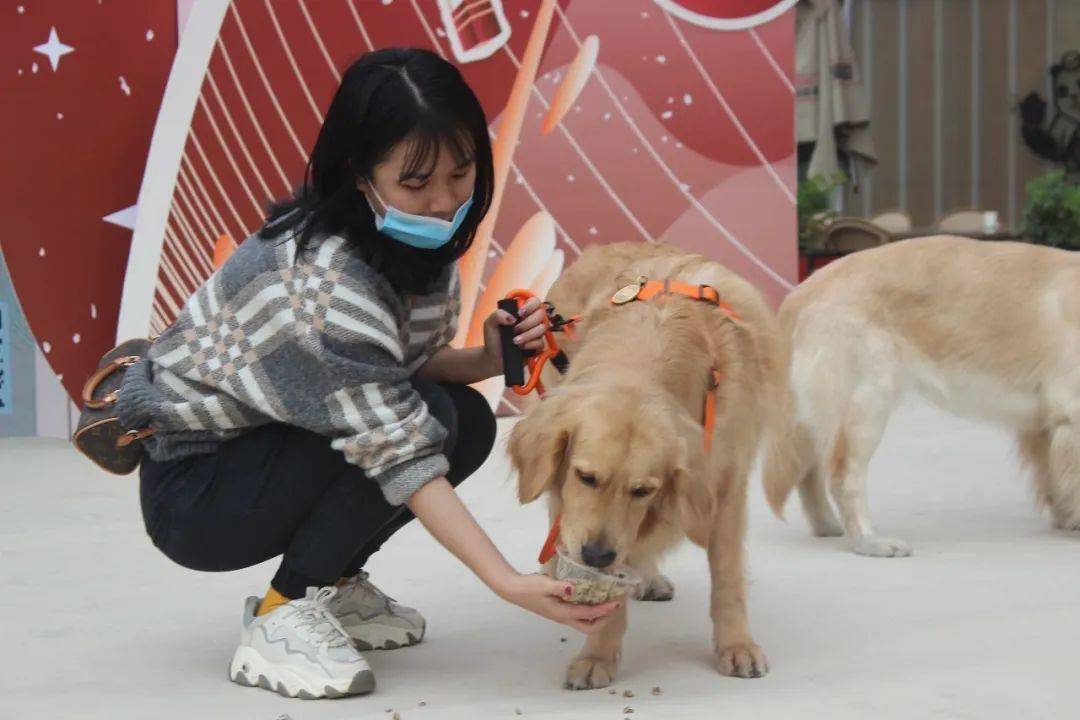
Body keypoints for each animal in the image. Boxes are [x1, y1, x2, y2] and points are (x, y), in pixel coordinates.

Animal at [505, 245, 786, 690]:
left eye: (642, 490)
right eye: (585, 477)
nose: (597, 554)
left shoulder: (725, 486)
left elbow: (727, 578)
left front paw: (736, 645)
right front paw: (598, 654)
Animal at [760, 236, 1080, 557]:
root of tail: (804, 289)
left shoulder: (1045, 425)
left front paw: (1067, 519)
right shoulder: (1071, 415)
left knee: (810, 472)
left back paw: (828, 526)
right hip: (867, 402)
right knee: (843, 476)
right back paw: (869, 541)